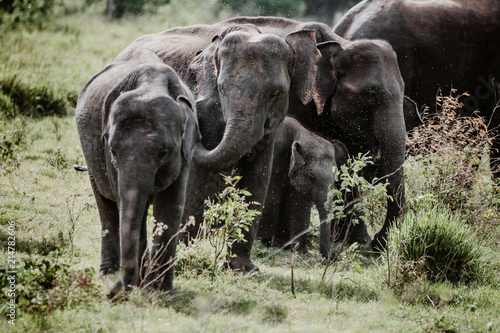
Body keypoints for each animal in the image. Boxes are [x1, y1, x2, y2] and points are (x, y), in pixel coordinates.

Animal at [75, 49, 200, 294]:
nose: (114, 293)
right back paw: (107, 273)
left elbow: (170, 207)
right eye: (113, 150)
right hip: (91, 156)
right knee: (106, 207)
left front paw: (160, 291)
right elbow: (128, 205)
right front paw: (140, 288)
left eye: (163, 152)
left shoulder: (185, 151)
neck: (151, 85)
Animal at [114, 22, 320, 270]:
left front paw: (244, 269)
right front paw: (187, 252)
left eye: (275, 93)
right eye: (222, 89)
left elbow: (257, 181)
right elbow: (197, 179)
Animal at [258, 116, 348, 256]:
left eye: (336, 178)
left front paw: (300, 251)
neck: (302, 133)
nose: (332, 256)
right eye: (311, 176)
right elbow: (271, 195)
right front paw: (263, 242)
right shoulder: (275, 156)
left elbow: (299, 204)